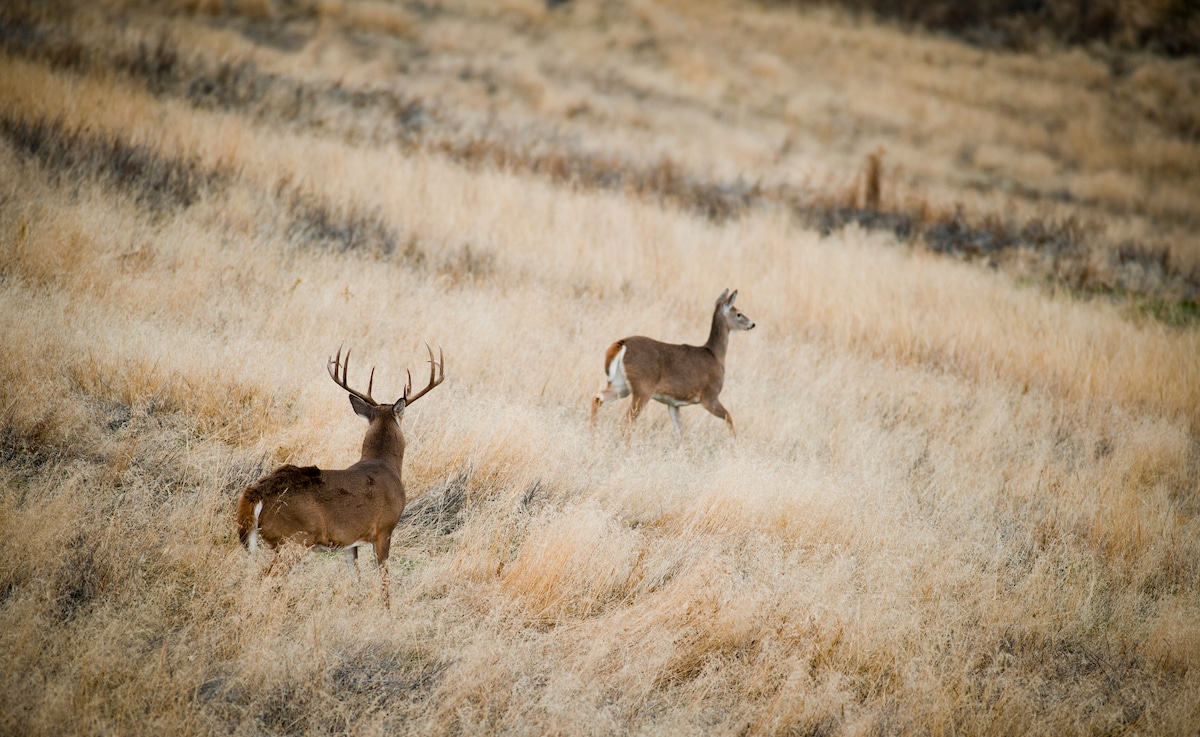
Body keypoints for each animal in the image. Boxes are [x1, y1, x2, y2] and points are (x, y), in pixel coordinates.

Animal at [236, 343, 444, 609]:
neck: (384, 464)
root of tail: (256, 493)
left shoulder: (350, 540)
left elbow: (355, 577)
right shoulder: (384, 528)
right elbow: (384, 580)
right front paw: (387, 612)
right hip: (296, 538)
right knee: (266, 578)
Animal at [591, 289, 755, 439]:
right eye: (739, 313)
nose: (752, 324)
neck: (715, 354)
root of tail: (622, 344)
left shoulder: (673, 403)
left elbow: (680, 433)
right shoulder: (710, 396)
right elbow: (729, 417)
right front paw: (735, 443)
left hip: (621, 385)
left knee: (598, 398)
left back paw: (593, 433)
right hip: (643, 387)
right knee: (626, 421)